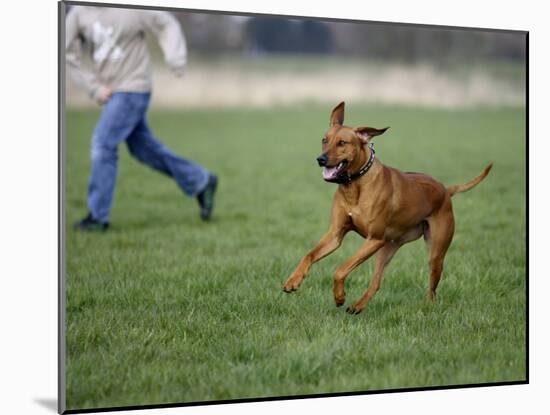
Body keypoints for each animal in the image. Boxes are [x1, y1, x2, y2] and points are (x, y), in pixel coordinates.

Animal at [282, 101, 494, 316]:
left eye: (342, 143)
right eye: (324, 140)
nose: (321, 159)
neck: (354, 185)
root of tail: (445, 189)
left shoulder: (374, 239)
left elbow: (340, 269)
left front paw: (339, 296)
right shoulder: (336, 234)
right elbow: (309, 255)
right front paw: (293, 280)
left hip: (434, 252)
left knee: (432, 289)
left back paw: (427, 308)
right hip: (387, 248)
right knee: (376, 282)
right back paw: (358, 306)